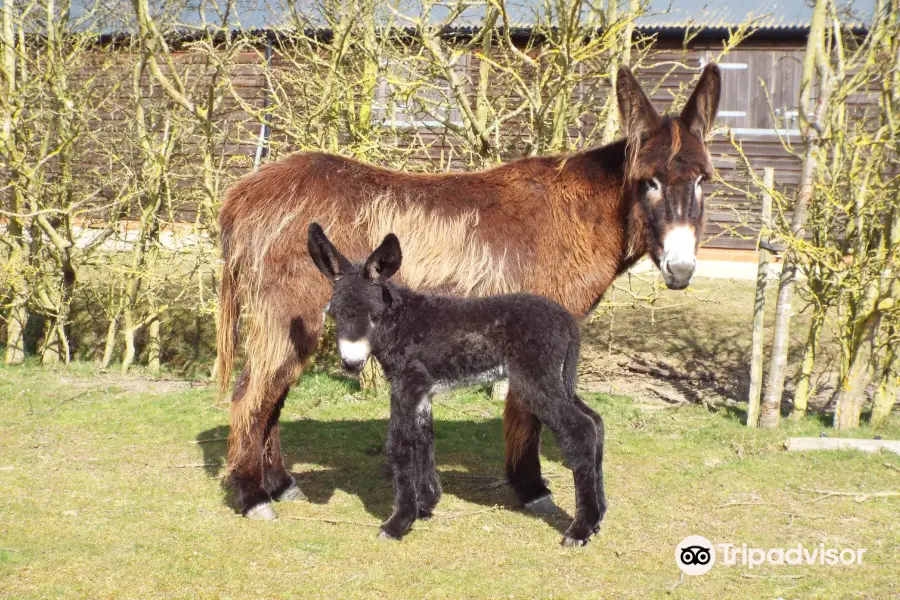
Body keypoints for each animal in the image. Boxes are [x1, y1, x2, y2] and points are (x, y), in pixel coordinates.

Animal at [306, 223, 608, 548]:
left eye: (374, 315)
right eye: (334, 314)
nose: (351, 364)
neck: (400, 322)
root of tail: (566, 319)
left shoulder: (407, 384)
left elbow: (400, 444)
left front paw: (399, 521)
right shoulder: (422, 391)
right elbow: (423, 440)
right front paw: (426, 504)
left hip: (536, 382)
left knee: (580, 431)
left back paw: (579, 529)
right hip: (558, 380)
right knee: (596, 422)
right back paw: (598, 516)